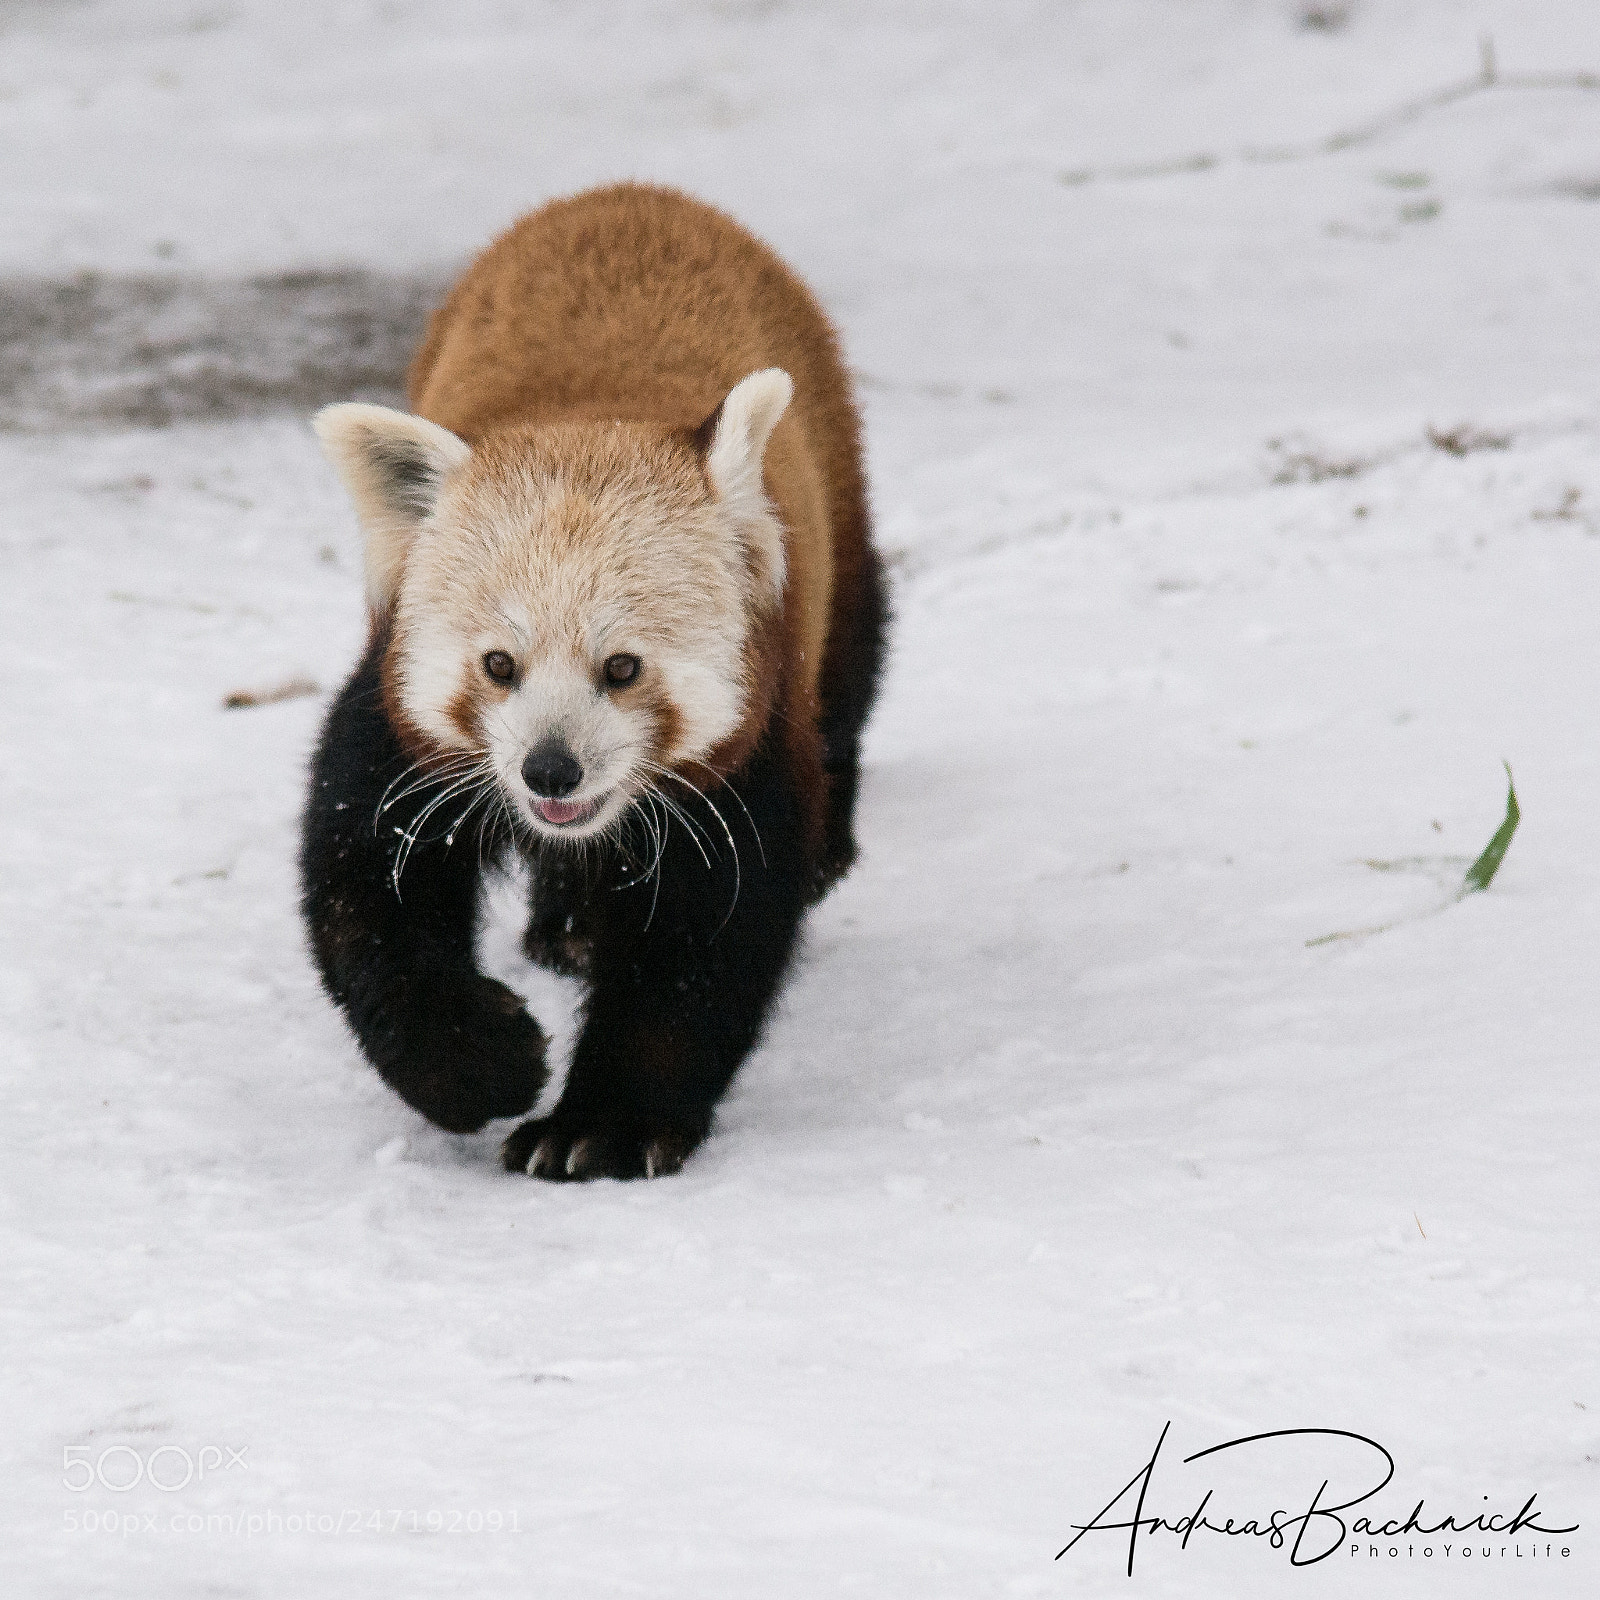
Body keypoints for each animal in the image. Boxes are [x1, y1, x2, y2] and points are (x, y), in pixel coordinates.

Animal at [300, 183, 888, 1180]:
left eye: (622, 668)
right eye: (499, 666)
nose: (550, 770)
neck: (594, 416)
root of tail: (633, 193)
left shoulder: (746, 745)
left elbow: (701, 945)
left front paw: (601, 1125)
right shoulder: (394, 719)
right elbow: (365, 897)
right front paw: (479, 1065)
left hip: (836, 515)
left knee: (852, 670)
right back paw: (567, 925)